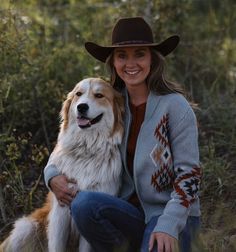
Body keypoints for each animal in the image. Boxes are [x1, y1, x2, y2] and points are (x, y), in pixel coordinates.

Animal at [0, 78, 124, 251]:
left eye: (99, 95)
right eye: (78, 94)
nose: (81, 107)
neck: (86, 148)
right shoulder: (60, 211)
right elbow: (56, 245)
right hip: (25, 228)